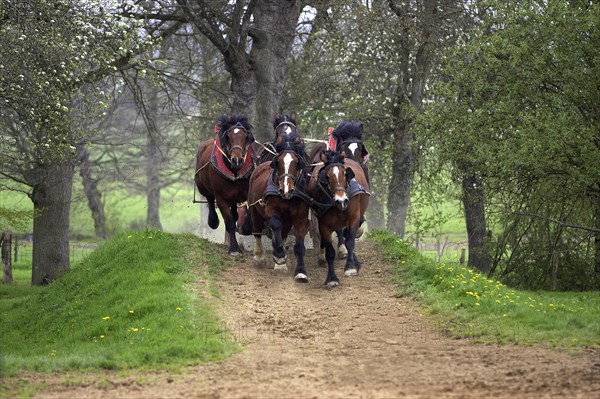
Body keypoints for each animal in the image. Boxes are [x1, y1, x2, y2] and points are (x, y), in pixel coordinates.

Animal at [196, 115, 254, 256]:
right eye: (228, 136)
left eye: (245, 136)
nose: (237, 160)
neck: (234, 171)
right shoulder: (221, 198)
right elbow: (230, 222)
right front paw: (234, 249)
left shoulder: (248, 193)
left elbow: (248, 215)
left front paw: (246, 228)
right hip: (203, 187)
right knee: (210, 199)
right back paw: (212, 221)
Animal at [245, 139, 312, 282]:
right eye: (279, 162)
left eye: (296, 163)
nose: (286, 189)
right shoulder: (271, 210)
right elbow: (275, 226)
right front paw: (279, 255)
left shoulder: (301, 218)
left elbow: (299, 246)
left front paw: (301, 272)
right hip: (255, 211)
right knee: (258, 231)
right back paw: (259, 257)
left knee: (283, 234)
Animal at [308, 151, 368, 288]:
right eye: (327, 176)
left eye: (345, 174)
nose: (341, 200)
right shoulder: (324, 224)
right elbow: (330, 252)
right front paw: (331, 278)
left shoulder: (353, 218)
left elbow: (350, 242)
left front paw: (351, 267)